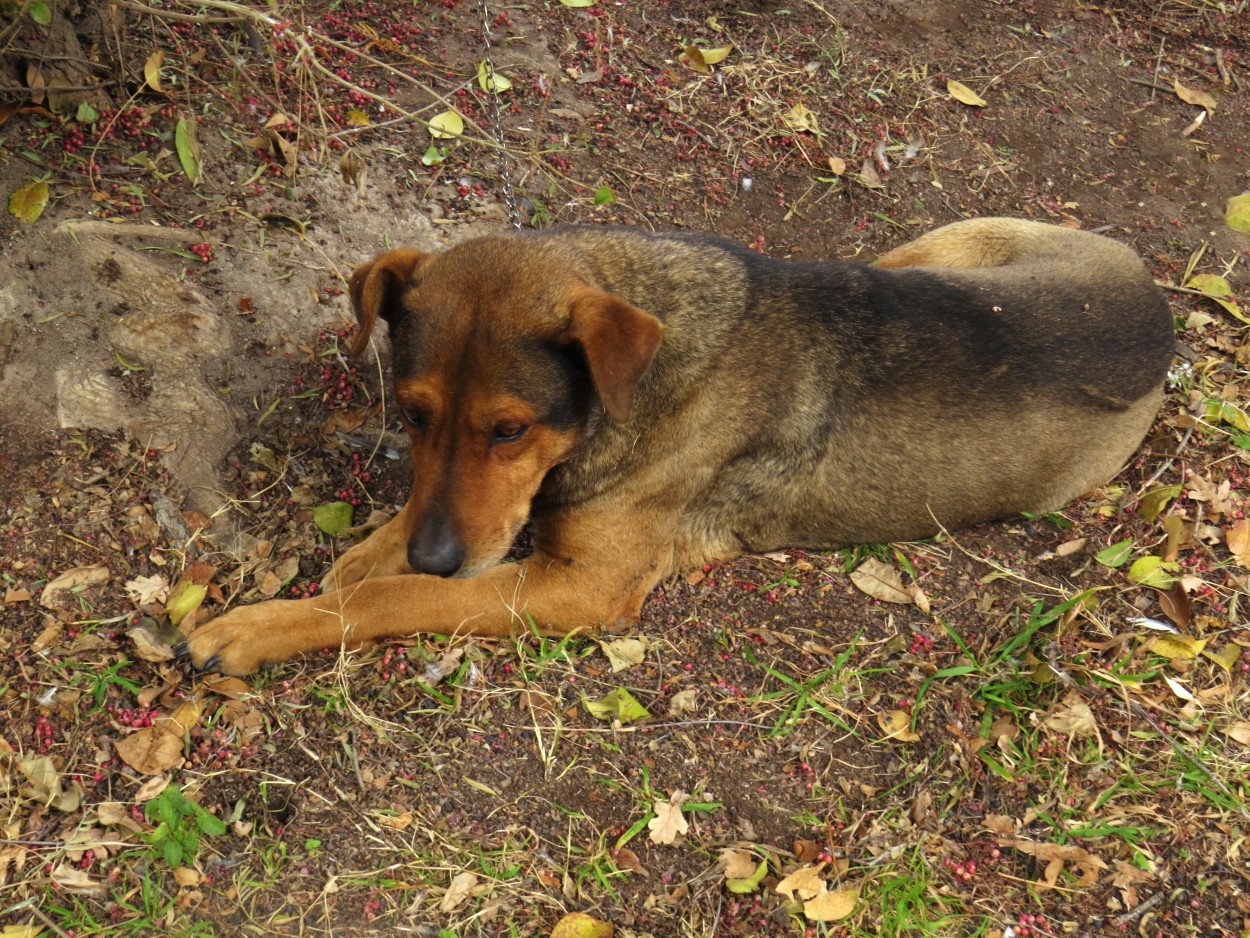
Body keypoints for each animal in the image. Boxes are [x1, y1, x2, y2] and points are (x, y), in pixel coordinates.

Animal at [181, 220, 1175, 675]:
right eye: (416, 415)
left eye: (510, 428)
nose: (436, 550)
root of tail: (1156, 304)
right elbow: (387, 562)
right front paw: (368, 554)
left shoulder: (578, 589)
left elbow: (397, 599)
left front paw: (265, 625)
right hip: (939, 246)